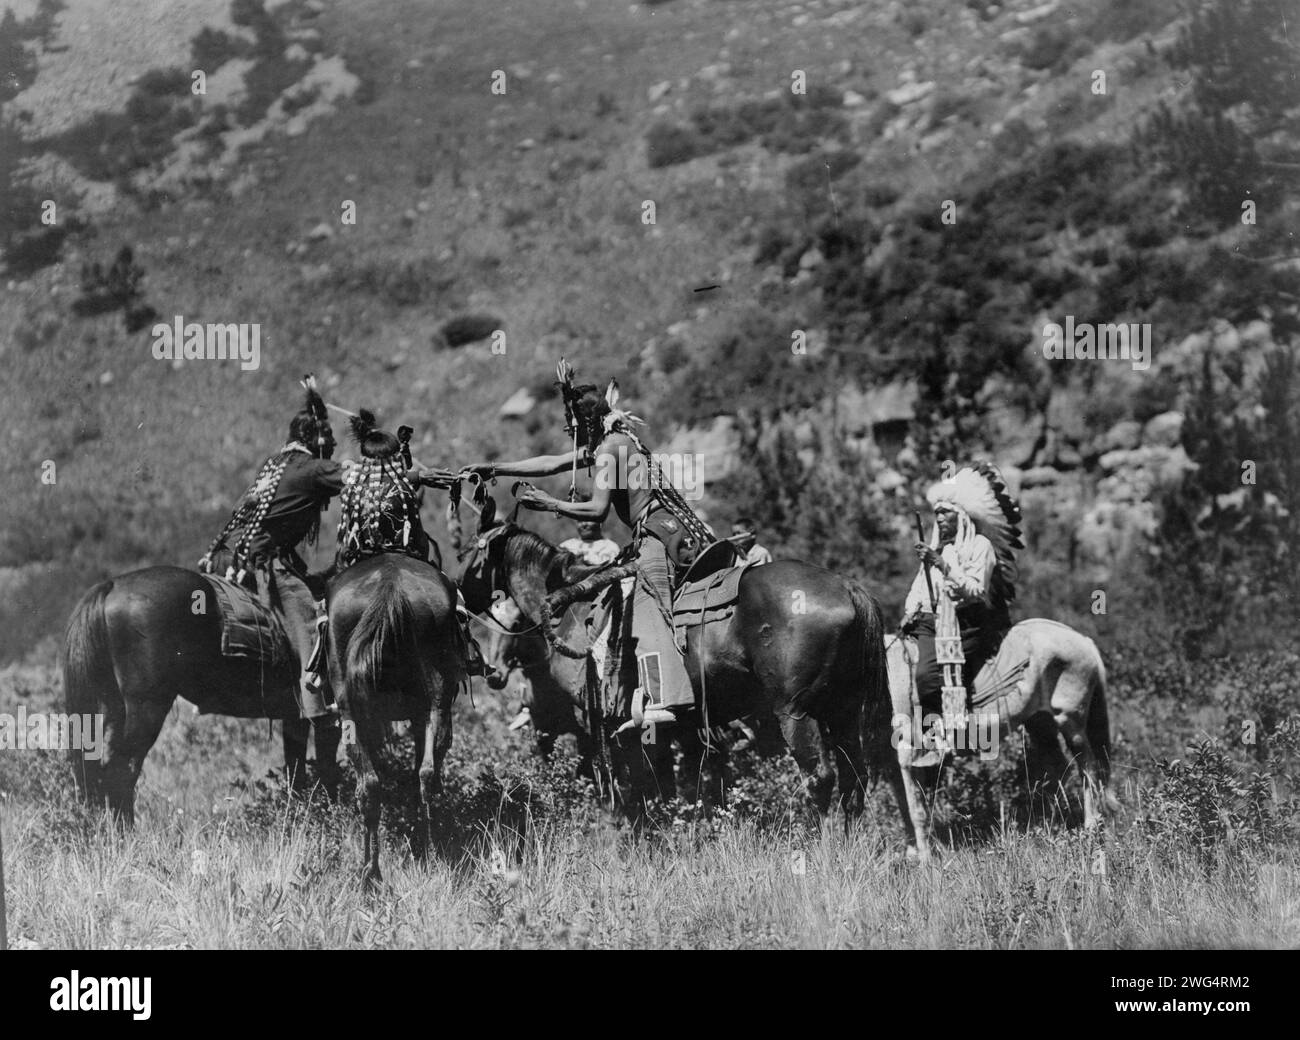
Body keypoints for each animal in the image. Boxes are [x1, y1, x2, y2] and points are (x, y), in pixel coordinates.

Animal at [62, 564, 338, 826]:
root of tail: (111, 586)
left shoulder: (296, 718)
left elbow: (297, 773)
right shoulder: (326, 717)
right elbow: (326, 770)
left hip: (113, 707)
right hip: (147, 708)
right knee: (122, 769)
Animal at [327, 551, 465, 883]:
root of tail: (389, 586)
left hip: (355, 709)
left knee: (373, 785)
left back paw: (372, 870)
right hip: (435, 701)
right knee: (425, 774)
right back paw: (428, 856)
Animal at [462, 520, 909, 837]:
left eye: (471, 554)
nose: (462, 596)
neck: (577, 605)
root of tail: (847, 588)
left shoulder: (598, 722)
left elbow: (623, 790)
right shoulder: (666, 727)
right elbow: (667, 789)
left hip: (796, 713)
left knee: (820, 779)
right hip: (842, 713)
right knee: (855, 780)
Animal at [889, 618, 1123, 863]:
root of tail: (1084, 640)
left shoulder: (906, 756)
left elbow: (916, 811)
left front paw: (926, 861)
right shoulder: (893, 764)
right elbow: (904, 806)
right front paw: (911, 855)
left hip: (1070, 720)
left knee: (1088, 767)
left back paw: (1089, 828)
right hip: (1039, 721)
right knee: (1059, 767)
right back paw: (1047, 825)